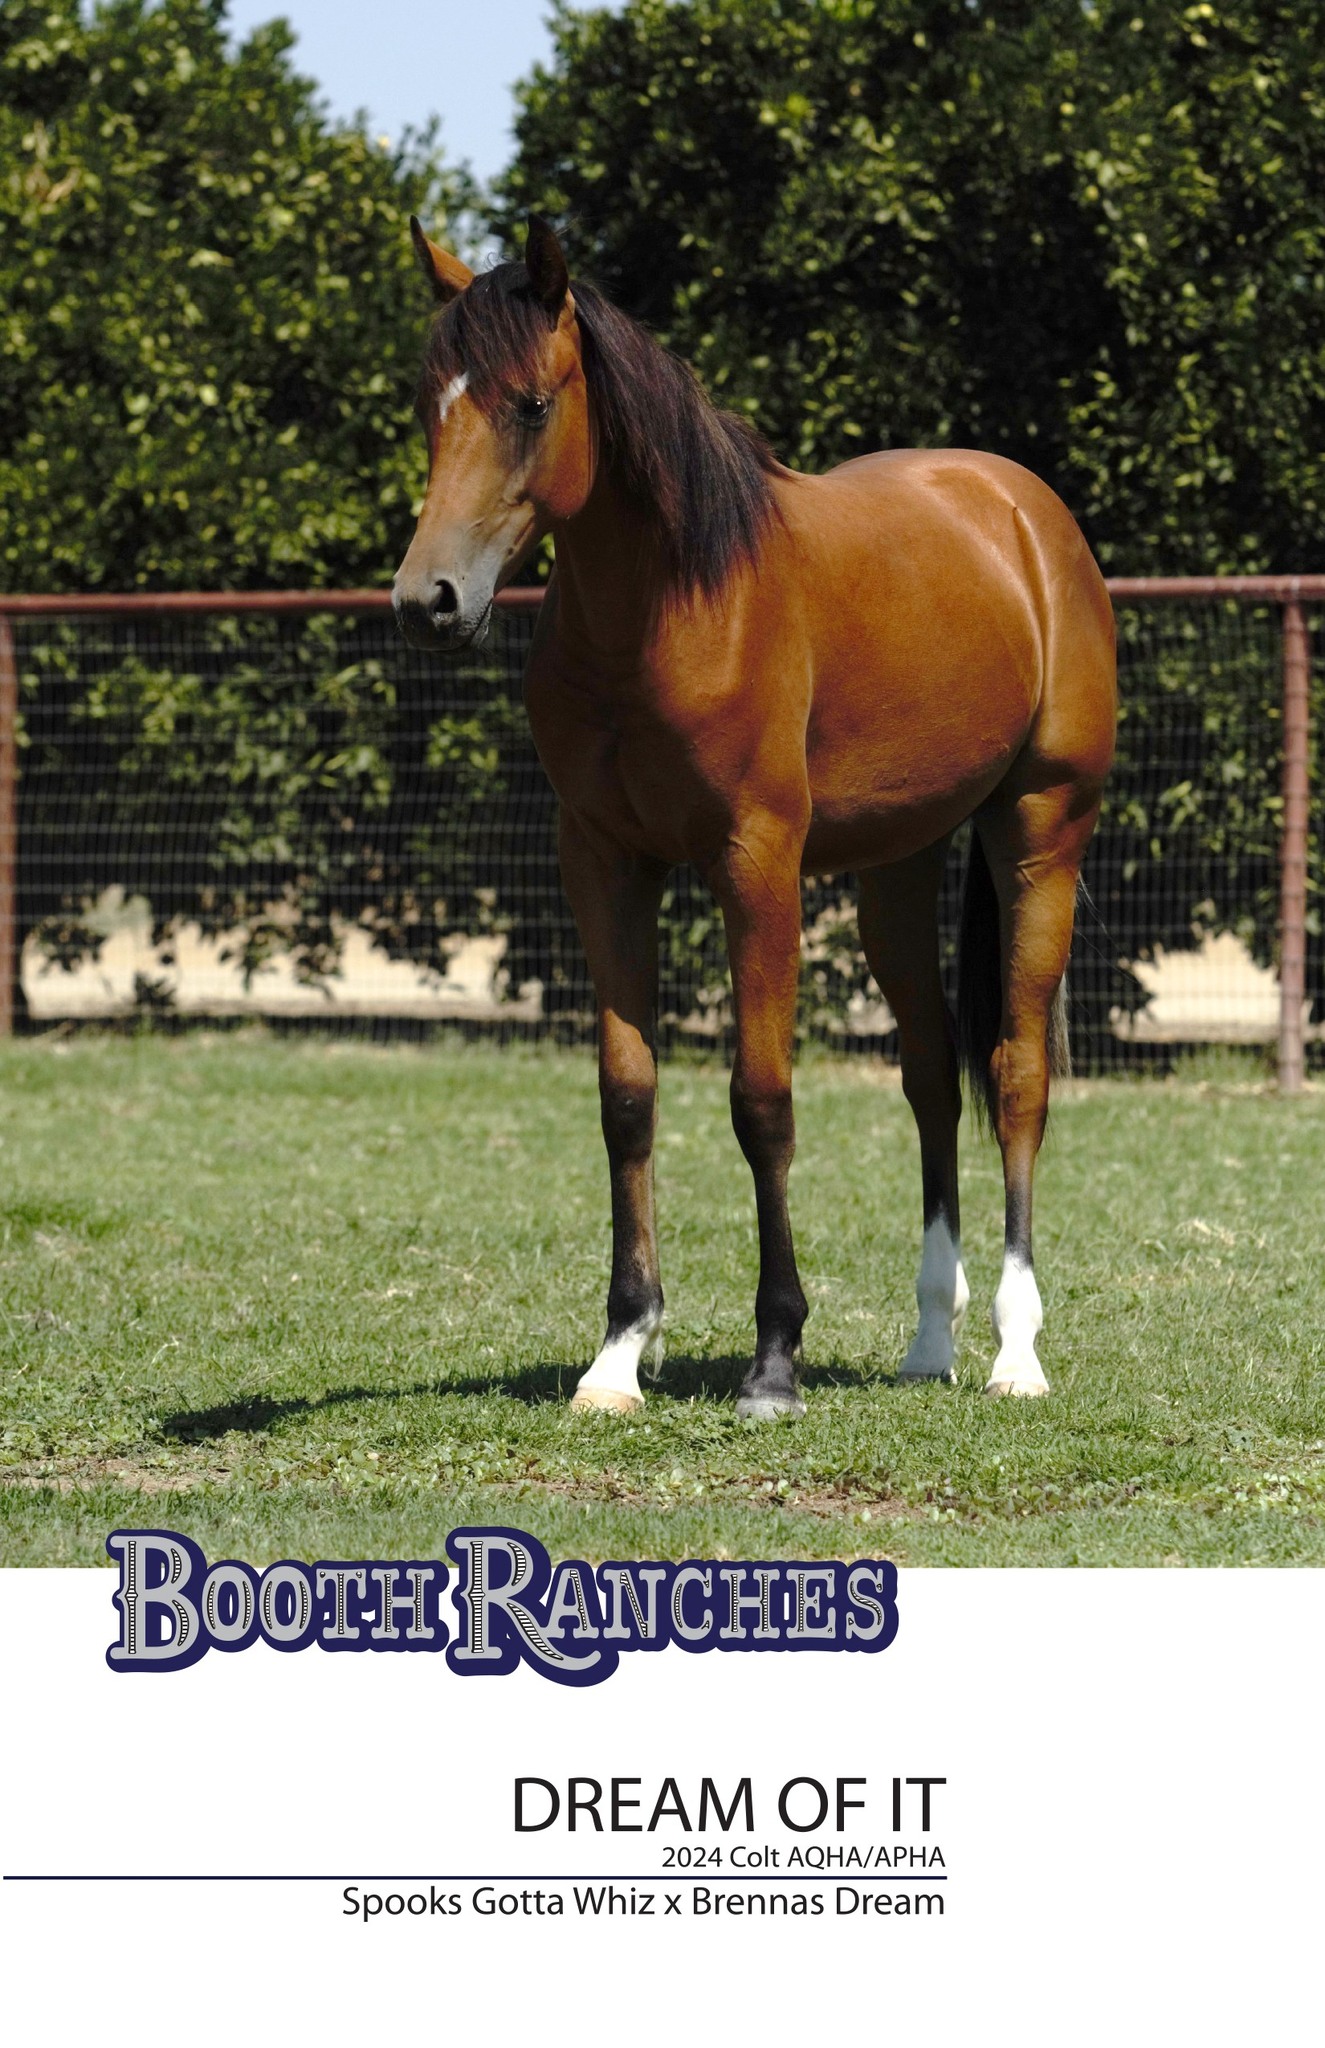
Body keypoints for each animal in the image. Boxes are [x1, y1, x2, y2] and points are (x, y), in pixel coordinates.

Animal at [394, 215, 1116, 1420]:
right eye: (429, 404)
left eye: (531, 404)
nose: (427, 600)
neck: (674, 603)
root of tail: (1021, 512)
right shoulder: (603, 862)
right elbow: (627, 1098)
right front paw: (617, 1352)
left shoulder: (756, 863)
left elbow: (760, 1100)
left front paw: (773, 1356)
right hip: (896, 868)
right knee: (930, 1075)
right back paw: (930, 1340)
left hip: (1039, 833)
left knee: (1015, 1072)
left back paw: (1014, 1352)